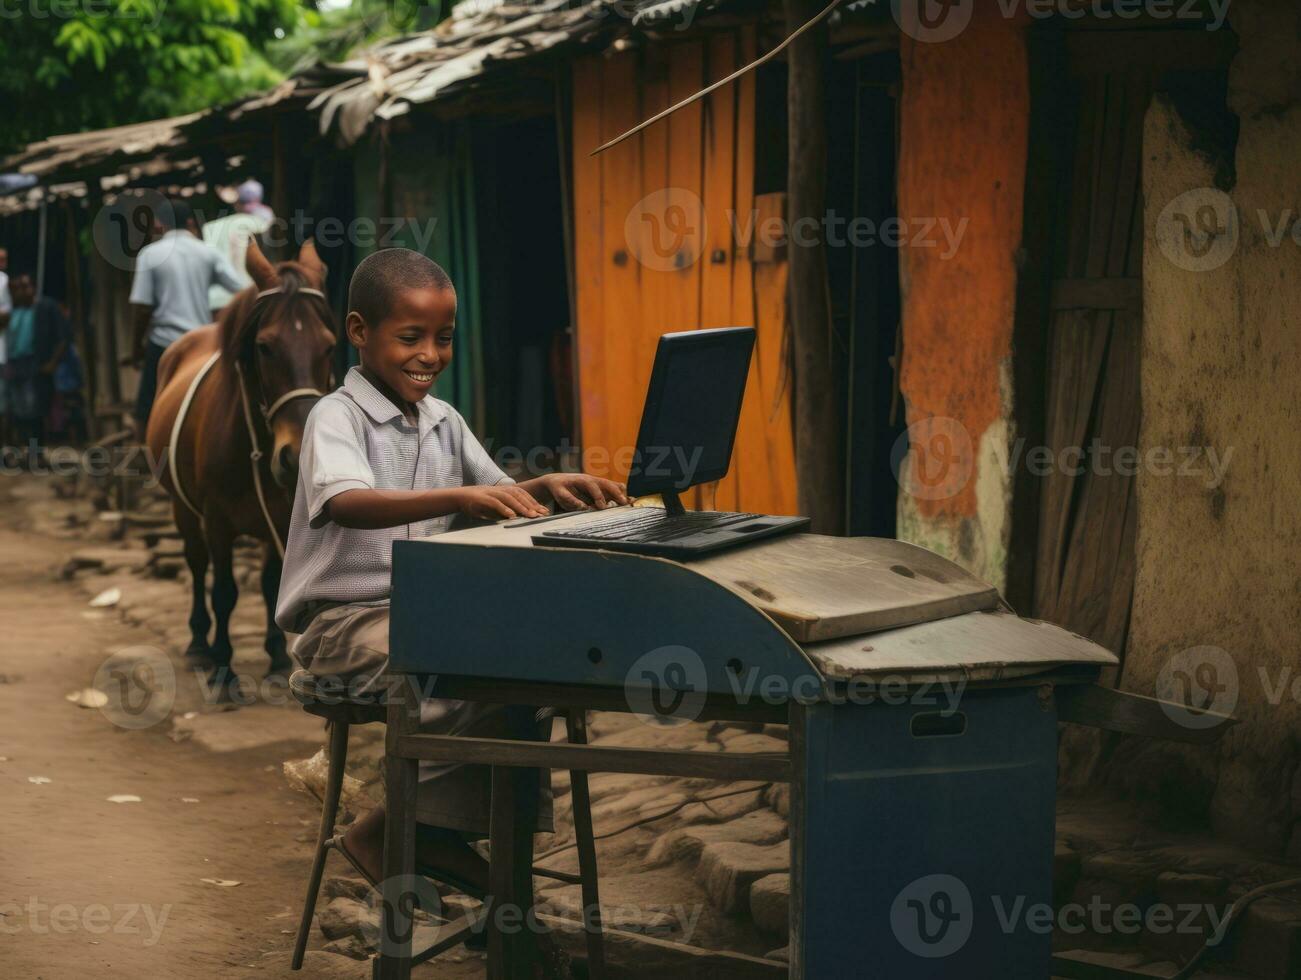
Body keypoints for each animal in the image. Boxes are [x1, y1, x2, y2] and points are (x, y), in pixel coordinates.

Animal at [145, 240, 338, 692]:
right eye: (264, 347)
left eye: (329, 345)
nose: (298, 453)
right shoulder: (216, 520)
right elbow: (225, 592)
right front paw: (223, 668)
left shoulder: (283, 516)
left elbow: (272, 585)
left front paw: (277, 658)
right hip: (182, 508)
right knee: (196, 563)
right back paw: (199, 643)